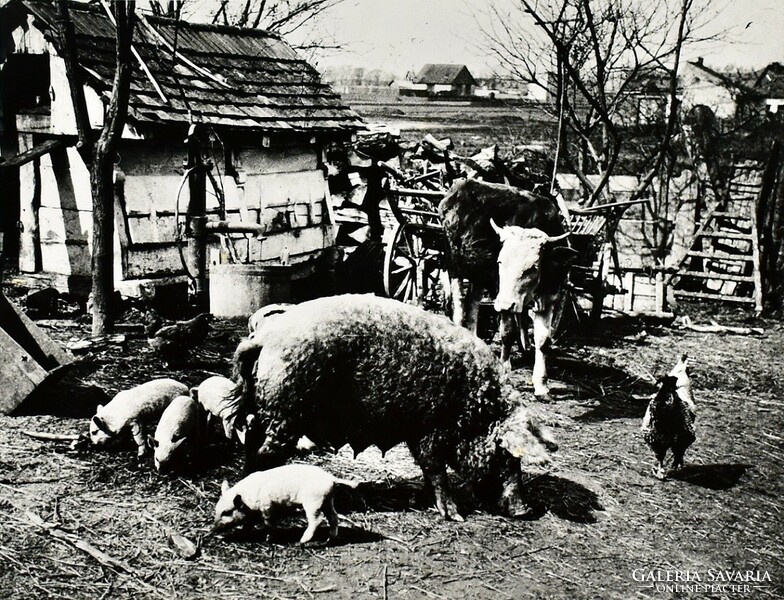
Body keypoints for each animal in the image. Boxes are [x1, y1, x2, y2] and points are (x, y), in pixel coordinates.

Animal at [214, 464, 362, 544]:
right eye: (216, 510)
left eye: (226, 512)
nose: (213, 529)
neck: (247, 499)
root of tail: (331, 479)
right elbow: (248, 523)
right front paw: (244, 533)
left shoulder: (267, 507)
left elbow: (269, 523)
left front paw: (268, 539)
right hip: (327, 500)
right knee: (333, 516)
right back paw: (330, 539)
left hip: (313, 501)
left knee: (317, 519)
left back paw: (302, 541)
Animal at [230, 296, 556, 520]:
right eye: (507, 454)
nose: (525, 510)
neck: (476, 406)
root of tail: (264, 338)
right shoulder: (431, 431)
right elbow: (436, 471)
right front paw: (455, 516)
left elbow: (429, 471)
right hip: (285, 414)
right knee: (264, 454)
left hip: (267, 410)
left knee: (252, 440)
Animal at [438, 178, 580, 398]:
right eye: (500, 262)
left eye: (533, 267)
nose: (505, 303)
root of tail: (461, 185)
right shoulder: (501, 293)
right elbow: (507, 332)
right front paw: (504, 370)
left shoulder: (550, 297)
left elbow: (543, 340)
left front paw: (541, 384)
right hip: (455, 266)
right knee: (459, 306)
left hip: (479, 276)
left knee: (472, 305)